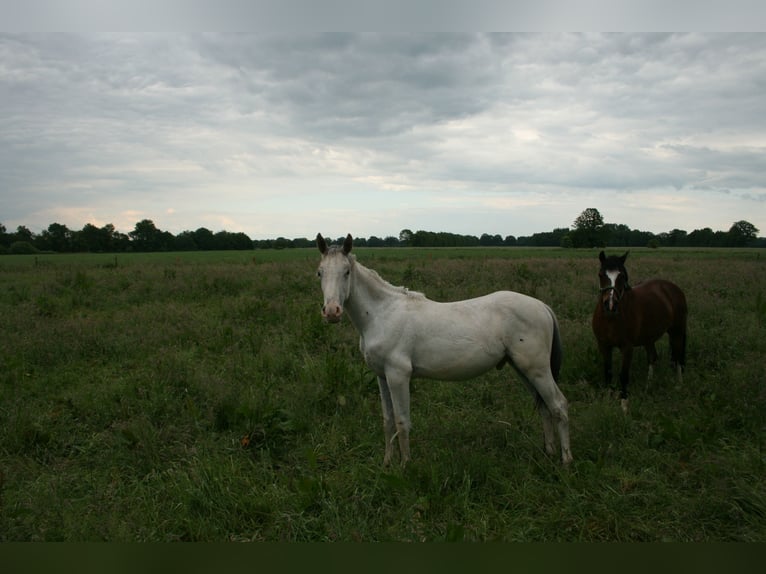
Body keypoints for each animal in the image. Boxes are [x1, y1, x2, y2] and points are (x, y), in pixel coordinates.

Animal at [316, 235, 572, 468]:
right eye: (320, 272)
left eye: (347, 272)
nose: (331, 312)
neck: (383, 313)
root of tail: (542, 306)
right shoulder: (382, 376)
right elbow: (388, 420)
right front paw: (387, 463)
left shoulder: (398, 375)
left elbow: (402, 421)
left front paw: (405, 466)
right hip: (522, 369)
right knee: (544, 406)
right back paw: (549, 453)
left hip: (537, 370)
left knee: (558, 405)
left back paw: (566, 460)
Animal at [592, 251, 692, 410]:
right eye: (601, 274)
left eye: (622, 276)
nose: (610, 305)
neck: (611, 319)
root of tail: (673, 288)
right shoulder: (604, 346)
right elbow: (608, 372)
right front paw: (608, 399)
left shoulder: (627, 348)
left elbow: (623, 375)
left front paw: (624, 403)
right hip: (649, 338)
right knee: (653, 357)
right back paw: (648, 385)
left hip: (677, 331)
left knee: (677, 357)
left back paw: (679, 384)